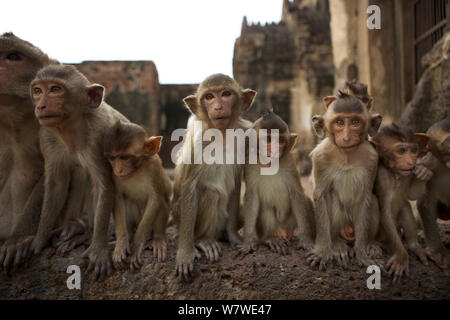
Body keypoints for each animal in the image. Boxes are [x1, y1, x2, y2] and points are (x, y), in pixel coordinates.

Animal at [103, 120, 171, 270]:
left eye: (124, 157)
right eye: (112, 158)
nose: (118, 169)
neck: (136, 169)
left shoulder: (154, 167)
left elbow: (155, 199)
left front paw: (136, 247)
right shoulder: (113, 175)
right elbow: (118, 198)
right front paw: (121, 244)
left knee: (162, 202)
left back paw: (157, 239)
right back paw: (128, 236)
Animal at [239, 110, 312, 255]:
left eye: (281, 140)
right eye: (268, 139)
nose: (275, 149)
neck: (270, 165)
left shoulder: (290, 162)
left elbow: (297, 195)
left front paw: (306, 239)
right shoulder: (249, 165)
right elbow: (252, 197)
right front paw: (248, 241)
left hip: (289, 223)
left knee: (306, 199)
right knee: (265, 208)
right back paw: (270, 239)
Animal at [310, 90, 384, 270]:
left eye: (355, 122)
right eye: (340, 122)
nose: (346, 137)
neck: (346, 156)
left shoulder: (372, 159)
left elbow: (365, 198)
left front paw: (363, 255)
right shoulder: (320, 157)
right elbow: (321, 196)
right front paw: (323, 251)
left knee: (372, 200)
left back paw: (371, 244)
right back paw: (337, 244)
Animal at [370, 124, 434, 282]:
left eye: (413, 151)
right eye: (401, 151)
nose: (411, 161)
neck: (395, 174)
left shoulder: (409, 173)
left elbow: (412, 194)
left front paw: (424, 171)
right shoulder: (381, 177)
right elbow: (385, 212)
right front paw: (401, 257)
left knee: (405, 208)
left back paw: (414, 246)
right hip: (384, 236)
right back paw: (374, 244)